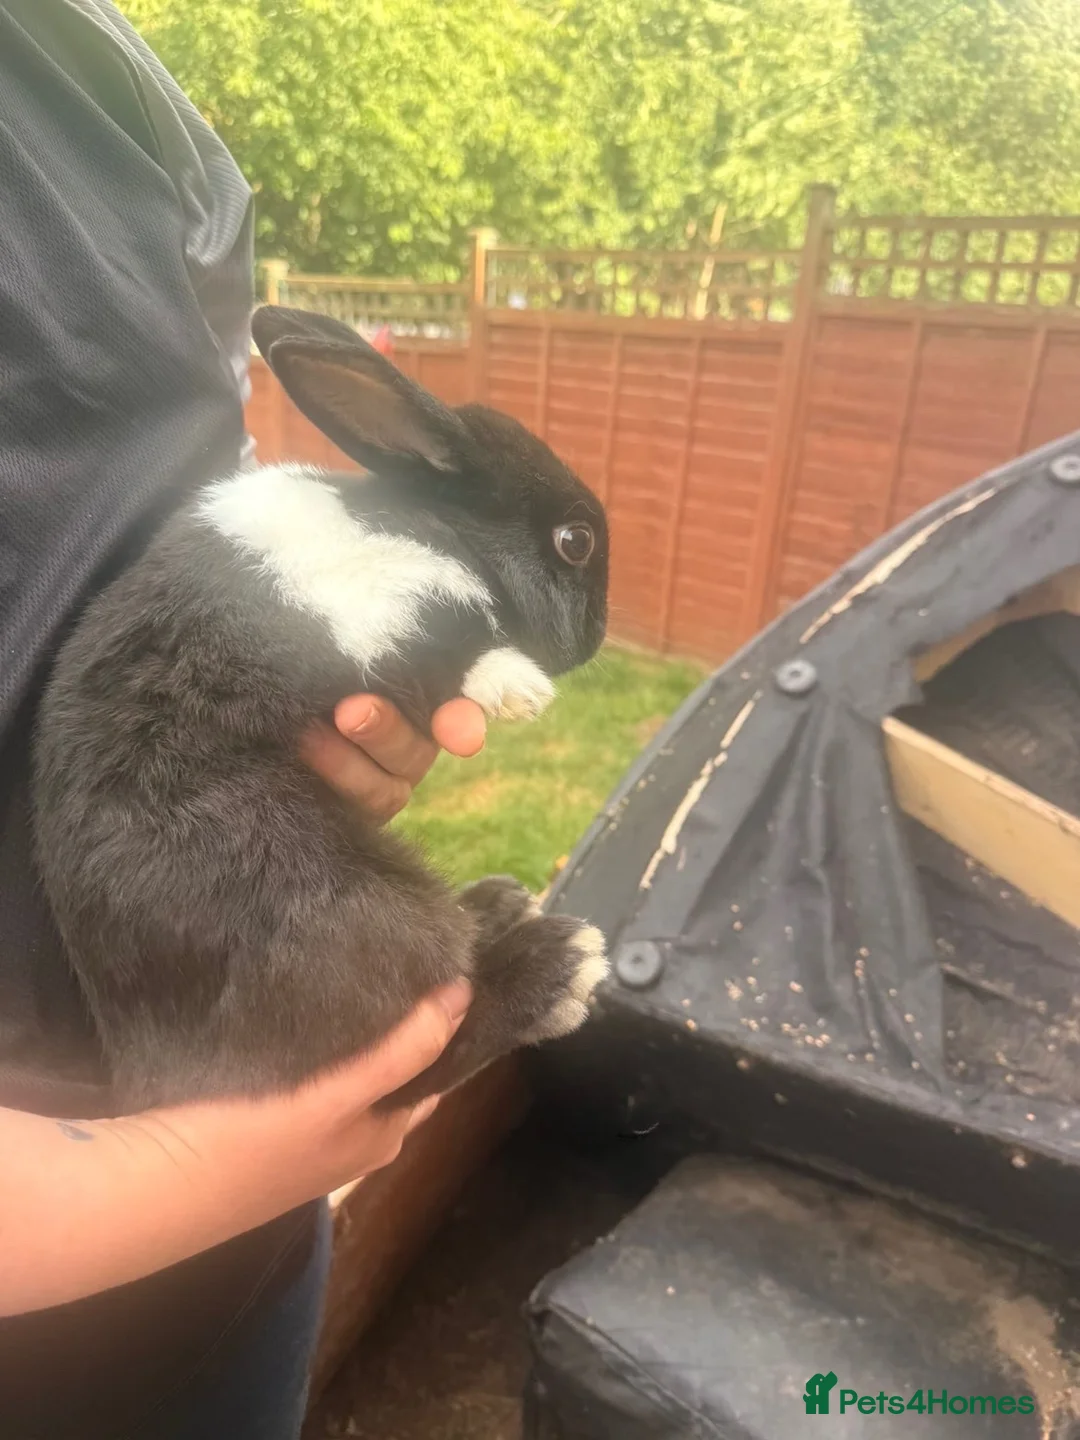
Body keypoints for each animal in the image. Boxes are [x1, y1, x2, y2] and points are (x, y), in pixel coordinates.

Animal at [31, 304, 610, 1116]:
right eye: (574, 541)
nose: (593, 640)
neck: (433, 524)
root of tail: (152, 1079)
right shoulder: (375, 606)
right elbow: (447, 646)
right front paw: (521, 690)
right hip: (355, 915)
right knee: (406, 1063)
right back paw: (558, 966)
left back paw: (500, 905)